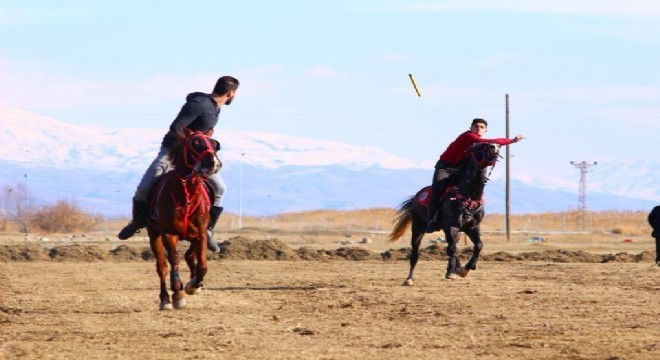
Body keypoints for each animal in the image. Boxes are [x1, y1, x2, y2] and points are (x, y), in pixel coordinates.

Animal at [146, 129, 220, 310]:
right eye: (195, 142)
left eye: (215, 144)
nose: (213, 163)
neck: (186, 193)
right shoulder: (168, 234)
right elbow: (174, 259)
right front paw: (178, 294)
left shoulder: (201, 233)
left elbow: (202, 266)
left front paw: (193, 286)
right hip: (154, 235)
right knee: (162, 267)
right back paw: (165, 299)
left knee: (189, 257)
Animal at [386, 142, 500, 286]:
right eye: (479, 146)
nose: (495, 147)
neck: (469, 196)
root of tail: (416, 197)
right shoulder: (452, 226)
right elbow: (452, 249)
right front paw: (452, 272)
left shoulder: (472, 227)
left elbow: (478, 245)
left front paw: (466, 269)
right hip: (418, 227)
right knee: (415, 253)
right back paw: (409, 279)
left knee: (453, 246)